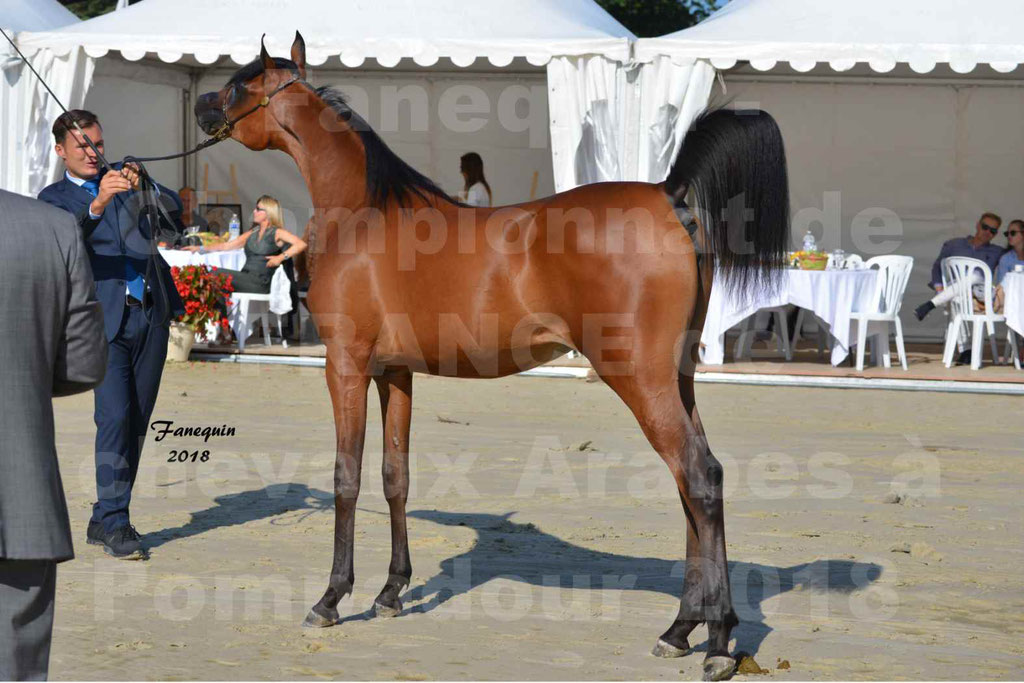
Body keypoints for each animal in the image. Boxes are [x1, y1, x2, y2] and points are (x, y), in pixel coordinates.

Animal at [197, 33, 790, 683]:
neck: (366, 212)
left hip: (640, 378)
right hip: (676, 379)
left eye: (241, 82)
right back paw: (680, 630)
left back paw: (717, 644)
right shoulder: (394, 373)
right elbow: (395, 477)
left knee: (699, 478)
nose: (201, 107)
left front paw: (331, 599)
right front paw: (391, 593)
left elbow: (346, 478)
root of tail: (667, 193)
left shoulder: (345, 367)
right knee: (693, 486)